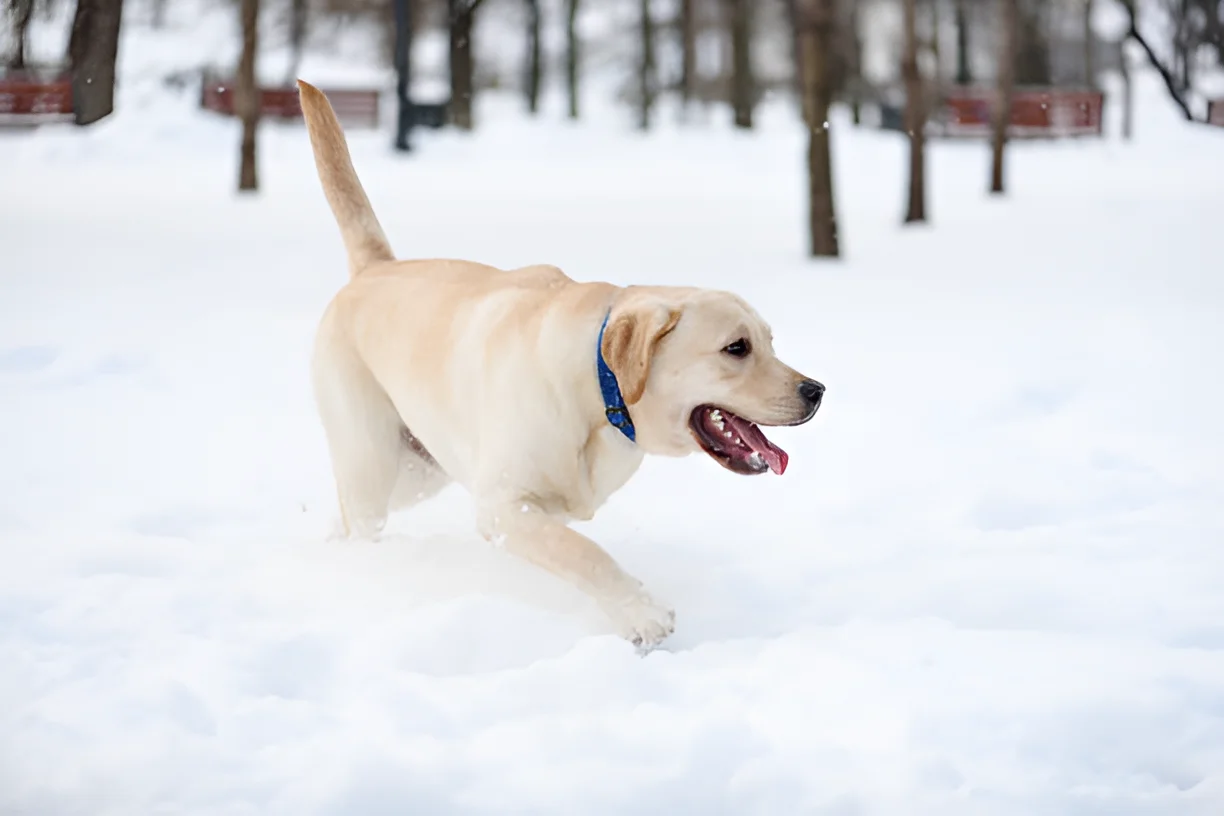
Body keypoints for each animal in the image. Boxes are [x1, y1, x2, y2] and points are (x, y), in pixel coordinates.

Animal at [301, 79, 827, 645]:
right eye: (737, 347)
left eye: (770, 342)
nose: (816, 391)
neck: (599, 391)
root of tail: (374, 269)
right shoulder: (503, 507)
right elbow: (583, 553)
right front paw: (641, 612)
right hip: (372, 461)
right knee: (360, 516)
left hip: (417, 472)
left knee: (347, 518)